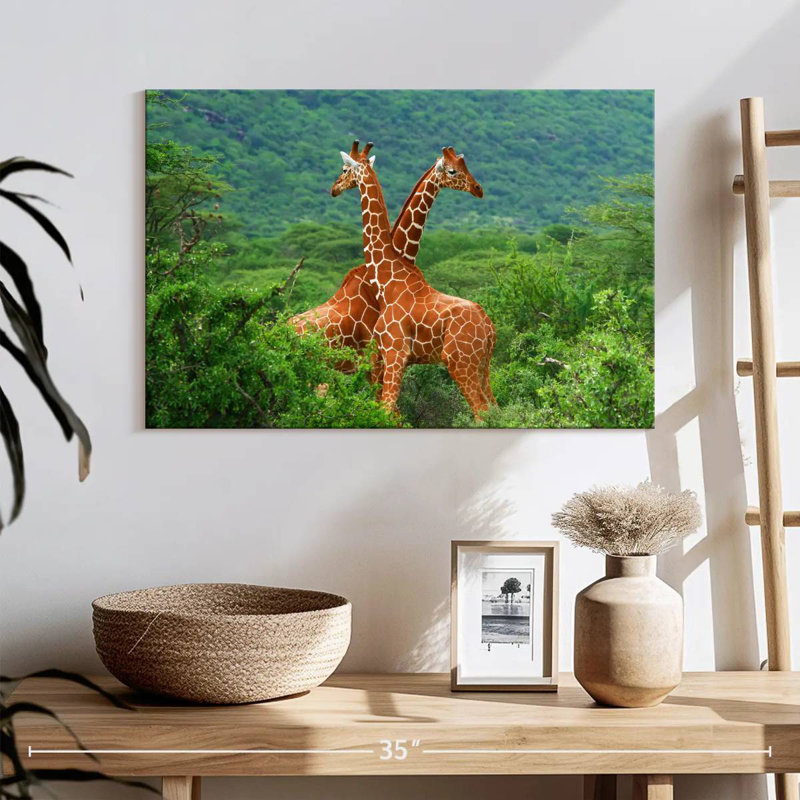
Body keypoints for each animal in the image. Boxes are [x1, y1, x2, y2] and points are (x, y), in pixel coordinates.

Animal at [331, 141, 496, 419]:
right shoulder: (386, 357)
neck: (387, 279)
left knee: (482, 411)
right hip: (483, 366)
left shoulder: (394, 352)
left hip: (460, 361)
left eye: (344, 169)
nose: (334, 188)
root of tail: (489, 328)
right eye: (453, 170)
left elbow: (387, 411)